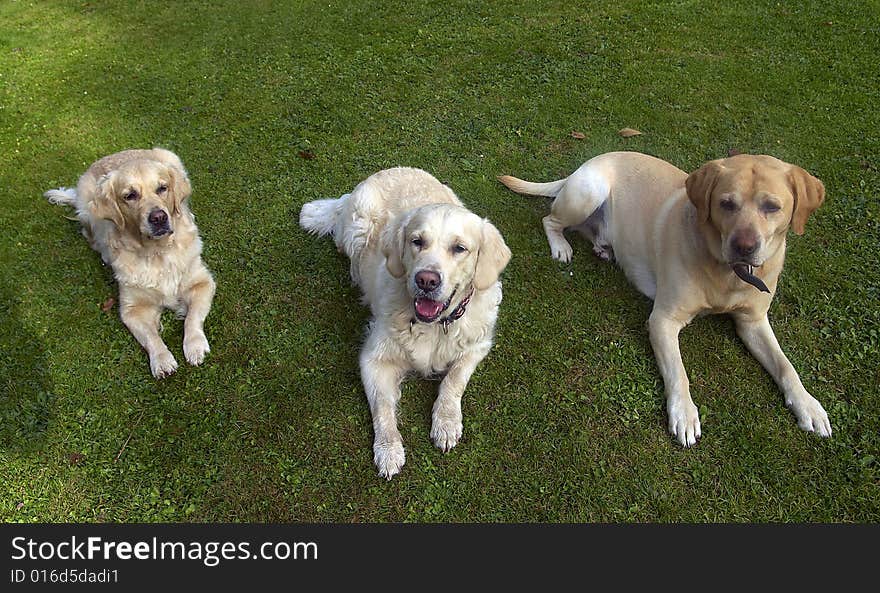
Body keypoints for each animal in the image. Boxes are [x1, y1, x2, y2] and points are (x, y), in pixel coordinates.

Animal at [44, 148, 215, 380]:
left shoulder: (203, 282)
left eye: (162, 188)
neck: (157, 252)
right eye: (130, 196)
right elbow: (150, 337)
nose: (159, 217)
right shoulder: (132, 309)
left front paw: (195, 346)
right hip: (88, 209)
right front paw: (162, 360)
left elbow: (193, 318)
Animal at [300, 165, 512, 476]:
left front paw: (446, 423)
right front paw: (388, 450)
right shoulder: (373, 359)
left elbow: (454, 380)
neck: (435, 325)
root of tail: (382, 172)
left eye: (459, 248)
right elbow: (382, 408)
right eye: (417, 242)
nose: (426, 280)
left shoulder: (478, 345)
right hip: (359, 226)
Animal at [498, 151, 828, 444]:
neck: (728, 275)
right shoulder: (663, 320)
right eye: (726, 204)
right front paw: (684, 413)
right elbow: (678, 371)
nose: (744, 247)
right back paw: (561, 246)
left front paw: (808, 405)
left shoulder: (753, 322)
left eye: (772, 207)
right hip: (589, 192)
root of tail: (589, 162)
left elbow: (786, 365)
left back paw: (604, 247)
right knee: (550, 220)